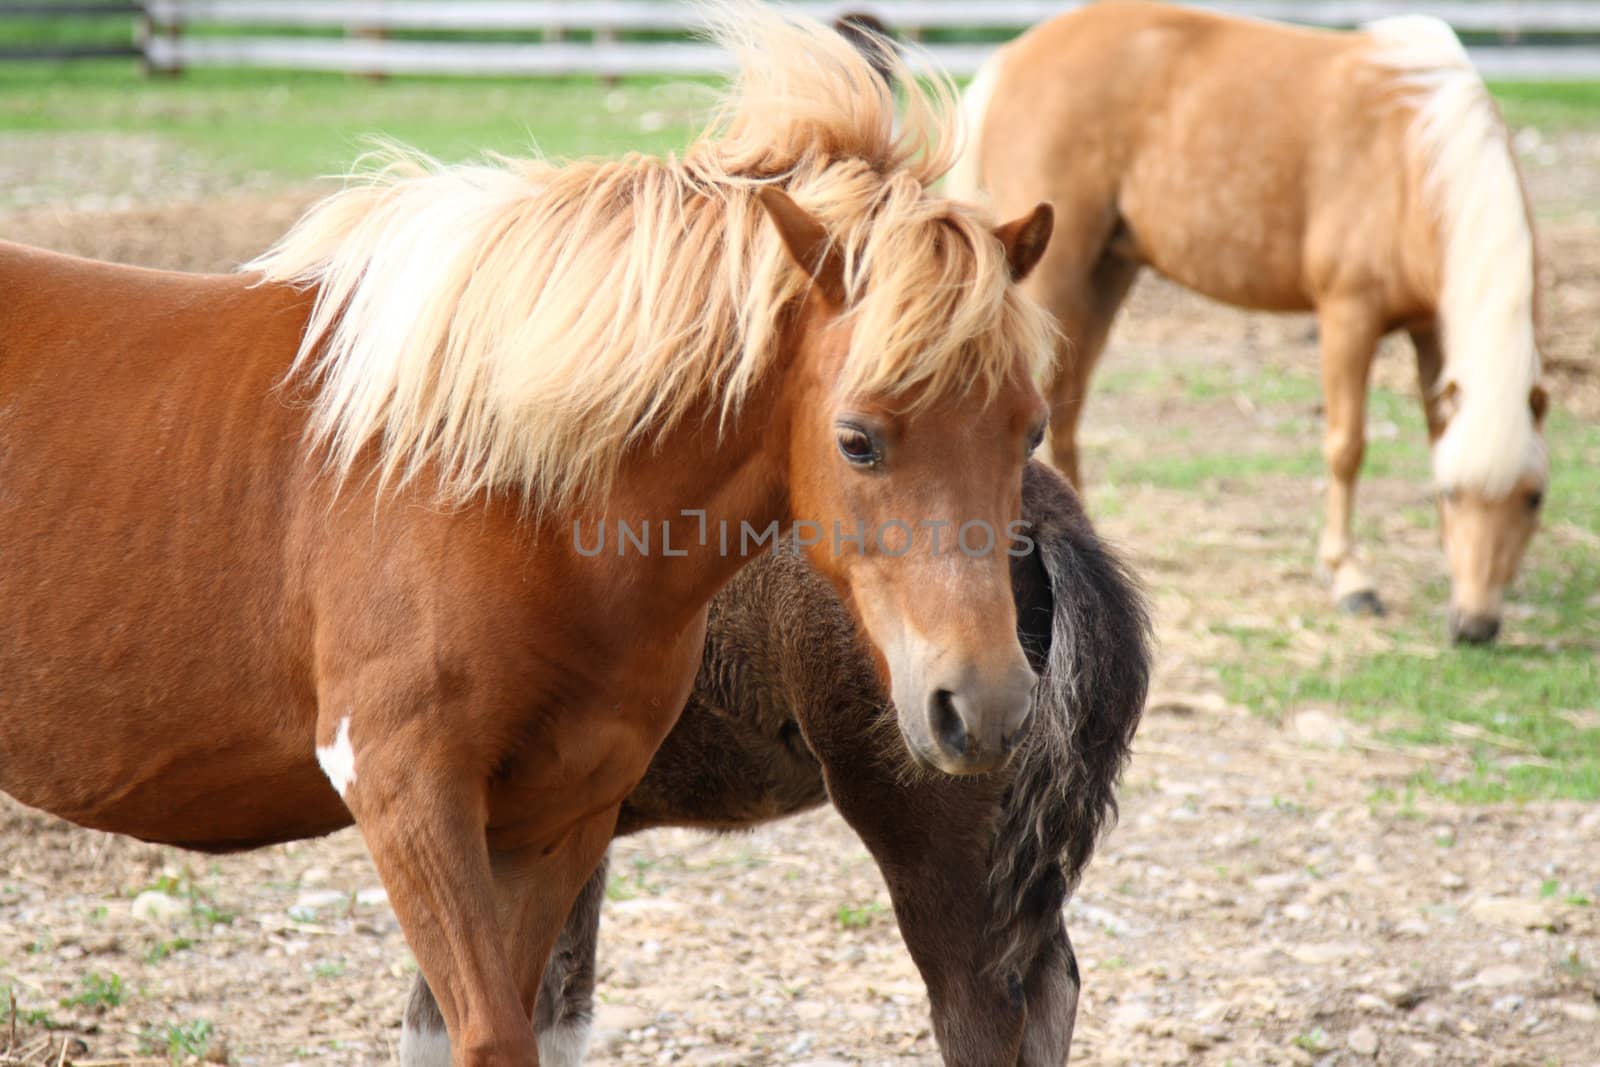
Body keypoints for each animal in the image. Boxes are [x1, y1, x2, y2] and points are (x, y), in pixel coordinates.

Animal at [0, 10, 1062, 1067]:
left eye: (1031, 427)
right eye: (857, 438)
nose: (985, 702)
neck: (511, 500)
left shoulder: (563, 815)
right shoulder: (406, 796)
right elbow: (489, 1031)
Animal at [947, 4, 1548, 646]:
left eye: (1534, 498)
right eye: (1456, 493)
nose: (1475, 626)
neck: (1412, 157)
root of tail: (1015, 55)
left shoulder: (1431, 326)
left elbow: (1439, 431)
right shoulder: (1348, 314)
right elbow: (1347, 445)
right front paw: (1350, 576)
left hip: (1107, 272)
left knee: (1066, 405)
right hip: (1057, 275)